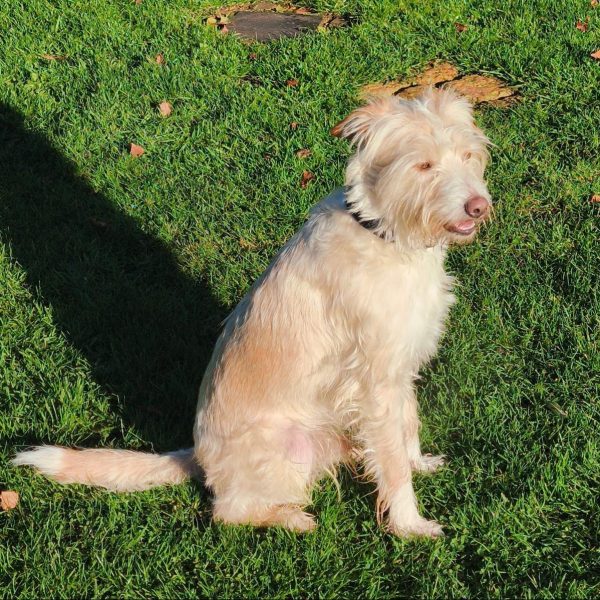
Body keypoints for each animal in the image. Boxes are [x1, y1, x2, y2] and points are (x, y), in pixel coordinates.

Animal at [14, 88, 492, 538]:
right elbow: (391, 463)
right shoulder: (376, 380)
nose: (479, 206)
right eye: (423, 166)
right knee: (229, 513)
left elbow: (407, 425)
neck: (384, 233)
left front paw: (418, 464)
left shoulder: (401, 366)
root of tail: (197, 457)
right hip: (288, 448)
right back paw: (290, 518)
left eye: (469, 155)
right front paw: (410, 526)